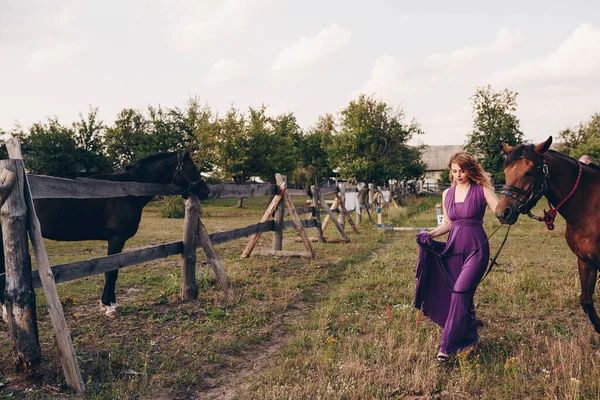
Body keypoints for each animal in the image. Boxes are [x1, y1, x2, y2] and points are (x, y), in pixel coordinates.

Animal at [0, 148, 211, 318]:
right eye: (192, 167)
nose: (206, 191)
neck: (126, 192)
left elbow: (114, 270)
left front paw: (110, 302)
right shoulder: (116, 239)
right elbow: (111, 271)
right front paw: (108, 306)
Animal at [494, 136, 600, 332]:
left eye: (529, 172)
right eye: (506, 172)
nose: (502, 213)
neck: (590, 207)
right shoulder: (586, 261)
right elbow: (587, 302)